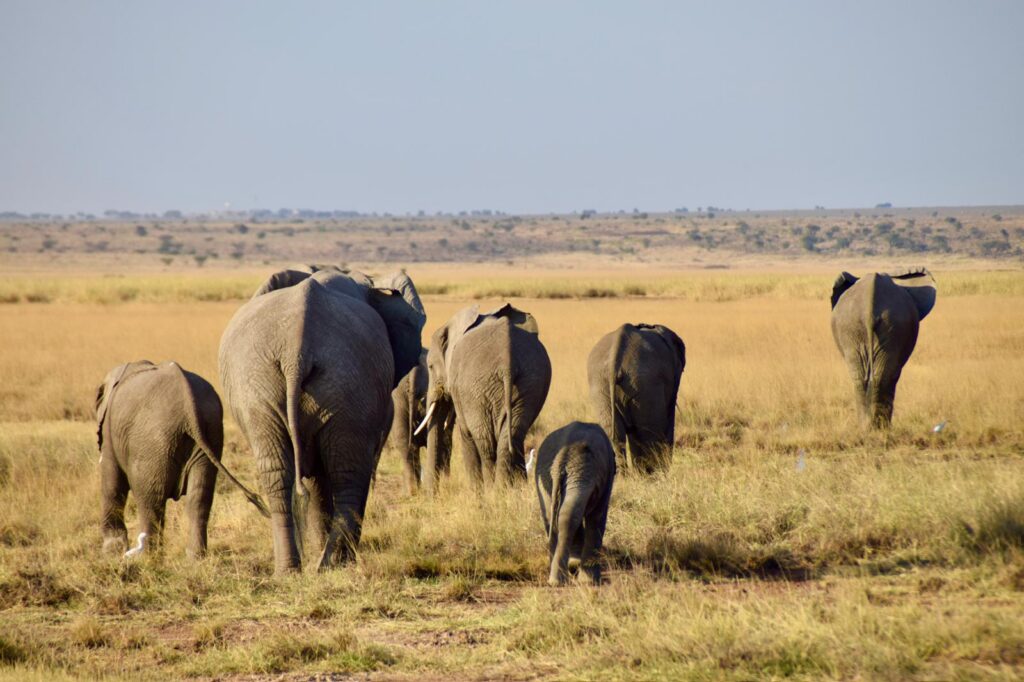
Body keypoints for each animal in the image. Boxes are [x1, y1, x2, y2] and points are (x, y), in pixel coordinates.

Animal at [95, 360, 267, 559]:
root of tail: (187, 403)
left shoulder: (109, 432)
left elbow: (111, 483)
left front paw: (111, 553)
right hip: (209, 432)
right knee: (199, 497)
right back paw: (195, 557)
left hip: (153, 442)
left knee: (151, 500)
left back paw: (148, 557)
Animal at [218, 266, 425, 574]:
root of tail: (296, 350)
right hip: (344, 383)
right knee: (348, 474)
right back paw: (333, 563)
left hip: (261, 384)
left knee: (277, 472)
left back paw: (293, 570)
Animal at [417, 303, 551, 492]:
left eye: (430, 366)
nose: (431, 494)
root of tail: (507, 361)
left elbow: (465, 432)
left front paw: (476, 493)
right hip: (529, 381)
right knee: (513, 435)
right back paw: (505, 490)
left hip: (476, 388)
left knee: (485, 441)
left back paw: (491, 490)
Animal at [533, 421, 616, 586]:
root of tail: (560, 459)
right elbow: (598, 517)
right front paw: (590, 579)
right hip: (581, 473)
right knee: (569, 516)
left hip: (547, 474)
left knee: (554, 516)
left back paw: (556, 578)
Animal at [830, 268, 936, 428]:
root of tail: (870, 307)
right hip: (863, 327)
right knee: (882, 376)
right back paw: (875, 427)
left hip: (862, 327)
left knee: (868, 376)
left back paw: (871, 427)